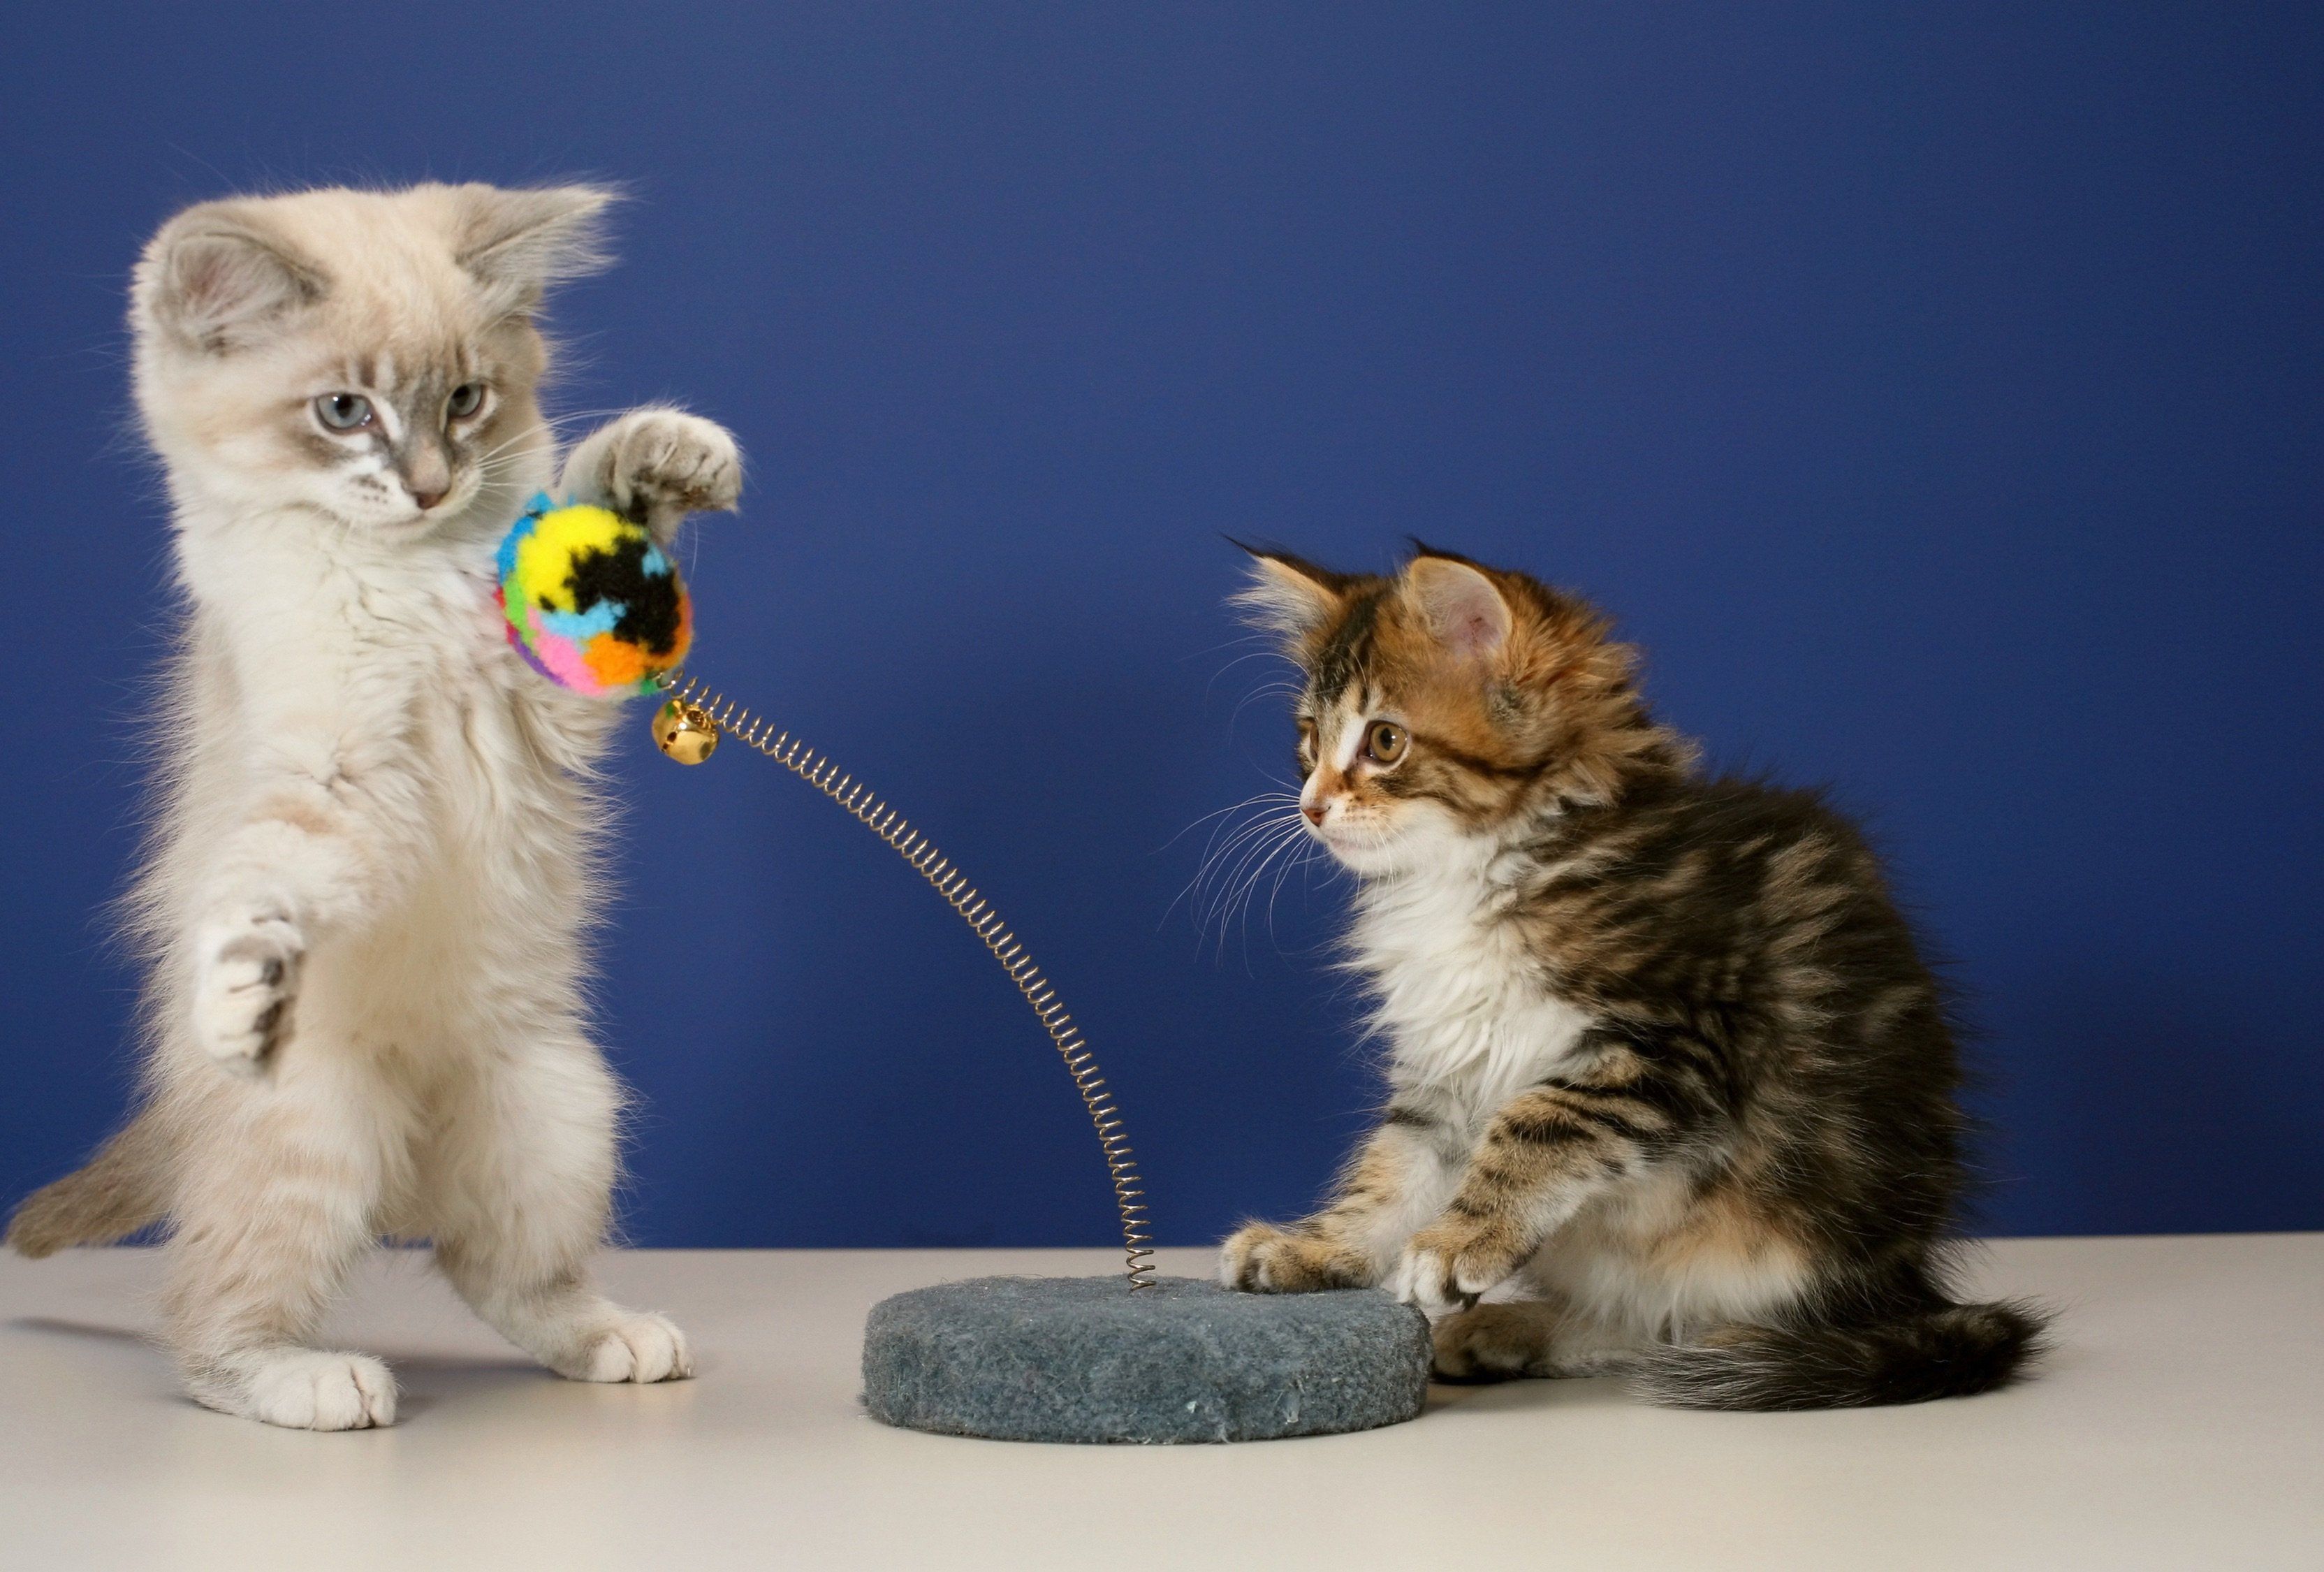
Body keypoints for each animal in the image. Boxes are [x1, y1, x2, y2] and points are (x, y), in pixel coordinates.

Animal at [2, 177, 743, 1432]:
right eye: (345, 412)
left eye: (466, 401)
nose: (431, 485)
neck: (407, 577)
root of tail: (409, 1147)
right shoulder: (337, 774)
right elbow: (271, 874)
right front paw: (240, 990)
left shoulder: (540, 704)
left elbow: (591, 522)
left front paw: (663, 452)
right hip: (316, 1128)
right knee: (208, 1317)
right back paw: (308, 1376)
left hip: (558, 1108)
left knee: (487, 1264)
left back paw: (609, 1336)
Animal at [1227, 548, 2045, 1413]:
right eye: (1309, 740)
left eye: (1384, 741)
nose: (1311, 806)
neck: (1476, 873)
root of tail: (1909, 1284)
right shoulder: (1445, 1066)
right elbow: (1391, 1173)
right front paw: (1321, 1250)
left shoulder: (1674, 1042)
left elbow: (1534, 1123)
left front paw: (1458, 1244)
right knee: (1643, 1324)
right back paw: (1510, 1331)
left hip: (1799, 1246)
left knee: (1689, 1332)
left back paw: (1725, 1346)